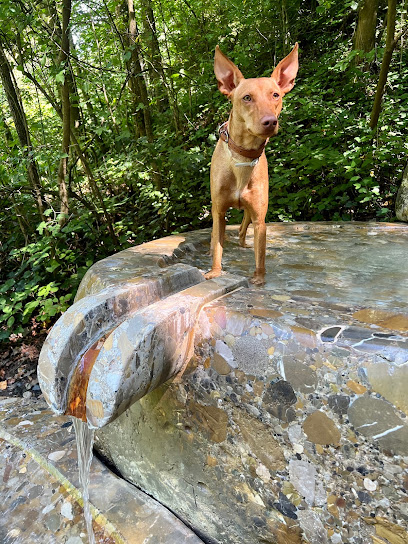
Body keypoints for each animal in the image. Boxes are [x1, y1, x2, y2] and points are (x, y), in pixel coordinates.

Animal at [206, 42, 298, 284]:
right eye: (247, 98)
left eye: (275, 95)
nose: (270, 122)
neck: (242, 158)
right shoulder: (219, 211)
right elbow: (218, 245)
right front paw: (215, 271)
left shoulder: (259, 218)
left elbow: (261, 252)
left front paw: (258, 277)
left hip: (249, 212)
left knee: (242, 230)